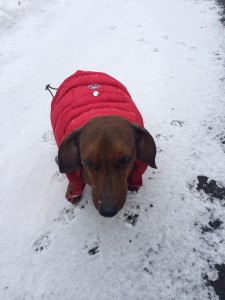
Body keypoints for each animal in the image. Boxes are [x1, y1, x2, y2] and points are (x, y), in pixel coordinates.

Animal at [51, 69, 156, 218]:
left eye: (126, 159)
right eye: (87, 162)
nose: (108, 211)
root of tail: (82, 71)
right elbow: (74, 180)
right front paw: (73, 192)